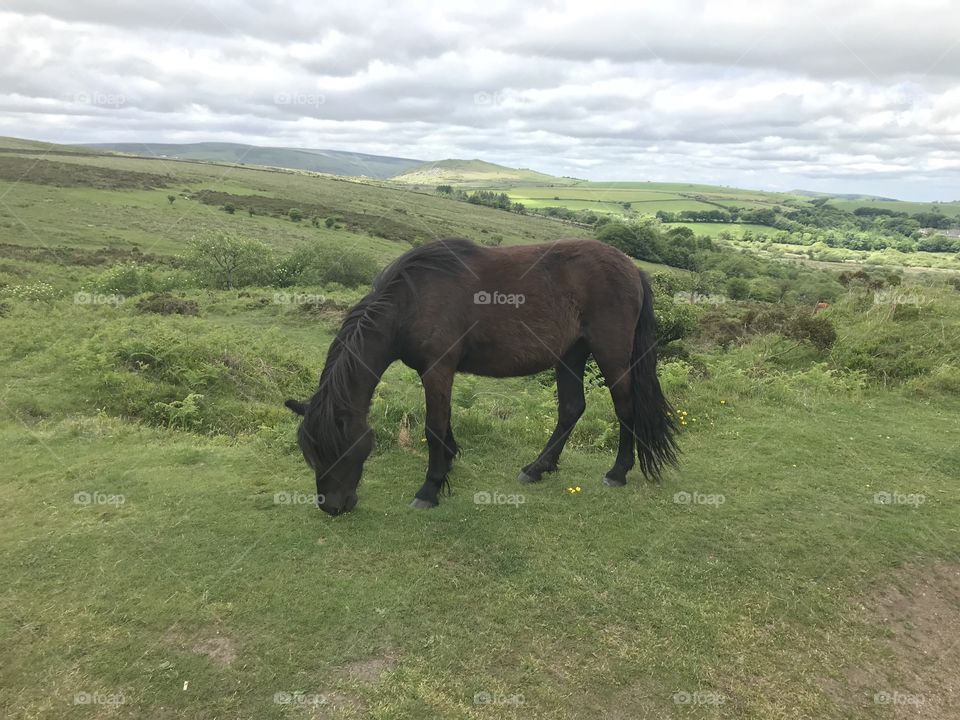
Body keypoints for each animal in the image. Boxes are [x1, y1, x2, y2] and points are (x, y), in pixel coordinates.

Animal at [285, 237, 678, 515]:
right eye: (310, 451)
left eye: (340, 448)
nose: (332, 507)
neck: (412, 299)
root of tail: (633, 270)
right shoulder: (439, 373)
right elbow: (443, 423)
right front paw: (449, 461)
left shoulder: (437, 369)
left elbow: (433, 426)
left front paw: (429, 490)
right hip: (571, 354)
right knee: (571, 408)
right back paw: (538, 467)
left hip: (611, 356)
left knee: (625, 409)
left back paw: (617, 472)